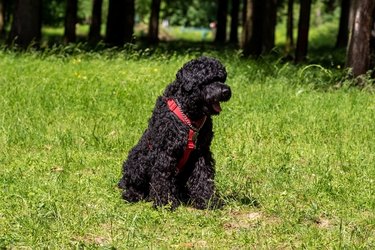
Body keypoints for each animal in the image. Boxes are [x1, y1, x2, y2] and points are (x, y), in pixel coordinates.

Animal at [119, 56, 232, 209]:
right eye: (209, 79)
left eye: (222, 78)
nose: (226, 91)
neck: (189, 115)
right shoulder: (166, 152)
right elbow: (163, 178)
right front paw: (165, 203)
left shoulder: (202, 152)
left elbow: (203, 177)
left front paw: (207, 200)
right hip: (137, 161)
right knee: (132, 185)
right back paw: (133, 194)